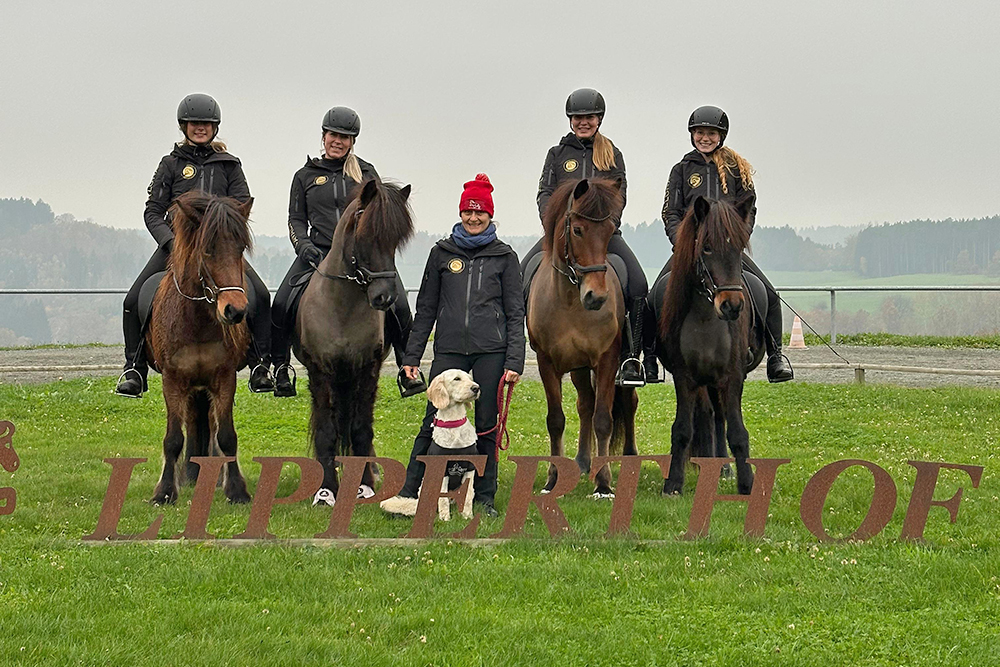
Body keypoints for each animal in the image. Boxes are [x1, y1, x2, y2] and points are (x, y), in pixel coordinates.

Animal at [145, 190, 254, 504]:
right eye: (207, 250)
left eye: (240, 248)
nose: (235, 311)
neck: (197, 322)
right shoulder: (172, 380)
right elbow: (173, 439)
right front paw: (165, 491)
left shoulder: (224, 379)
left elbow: (227, 435)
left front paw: (236, 489)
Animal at [292, 177, 414, 500]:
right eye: (366, 236)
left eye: (396, 241)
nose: (384, 298)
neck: (342, 305)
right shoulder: (321, 370)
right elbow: (327, 431)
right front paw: (326, 489)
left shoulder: (367, 368)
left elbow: (361, 429)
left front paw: (365, 484)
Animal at [378, 370, 480, 520]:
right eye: (457, 379)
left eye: (470, 378)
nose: (476, 388)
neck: (453, 425)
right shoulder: (441, 470)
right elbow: (442, 499)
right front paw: (445, 519)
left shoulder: (470, 468)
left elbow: (467, 496)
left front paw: (467, 517)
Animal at [528, 177, 636, 496]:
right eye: (577, 230)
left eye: (610, 230)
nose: (596, 297)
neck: (569, 301)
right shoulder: (547, 362)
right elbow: (556, 420)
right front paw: (552, 479)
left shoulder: (608, 359)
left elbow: (604, 420)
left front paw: (604, 483)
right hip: (577, 367)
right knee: (585, 404)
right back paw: (582, 462)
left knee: (628, 403)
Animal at [656, 193, 756, 496]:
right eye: (707, 248)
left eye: (739, 247)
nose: (732, 306)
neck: (705, 318)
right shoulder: (685, 378)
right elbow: (682, 430)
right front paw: (673, 483)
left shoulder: (732, 376)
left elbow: (737, 432)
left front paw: (746, 484)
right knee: (707, 417)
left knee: (718, 418)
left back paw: (722, 467)